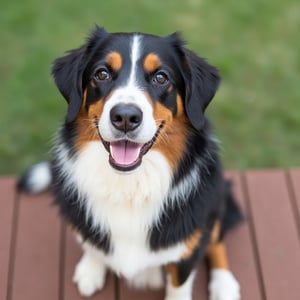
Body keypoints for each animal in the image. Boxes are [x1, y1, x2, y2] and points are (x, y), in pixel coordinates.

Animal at [17, 26, 243, 300]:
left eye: (161, 77)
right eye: (102, 74)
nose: (125, 117)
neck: (129, 185)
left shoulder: (188, 242)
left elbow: (180, 281)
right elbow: (92, 243)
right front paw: (91, 268)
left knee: (217, 240)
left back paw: (224, 284)